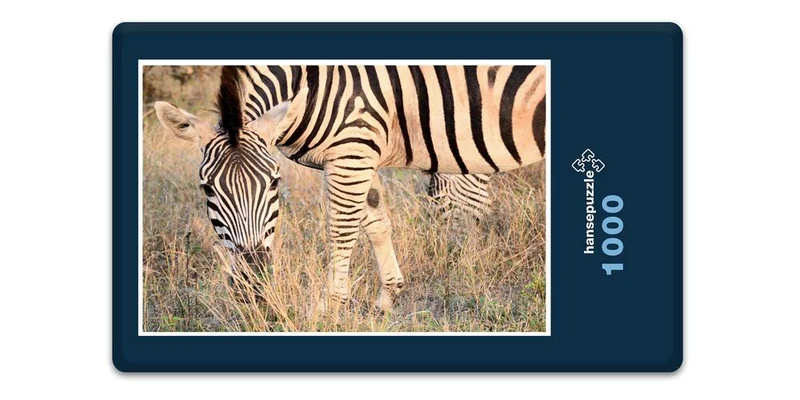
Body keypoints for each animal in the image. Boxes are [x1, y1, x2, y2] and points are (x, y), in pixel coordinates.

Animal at [154, 65, 546, 312]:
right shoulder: (360, 151)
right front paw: (388, 295)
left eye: (275, 183)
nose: (253, 281)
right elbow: (375, 221)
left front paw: (331, 305)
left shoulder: (352, 148)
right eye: (207, 190)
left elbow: (342, 230)